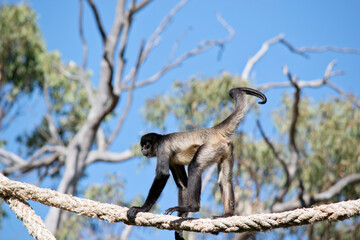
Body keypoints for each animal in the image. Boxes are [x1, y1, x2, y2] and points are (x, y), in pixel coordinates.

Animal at [128, 87, 266, 237]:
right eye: (142, 145)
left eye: (146, 145)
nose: (142, 149)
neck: (160, 139)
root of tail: (212, 130)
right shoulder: (172, 160)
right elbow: (183, 186)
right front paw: (179, 230)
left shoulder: (162, 147)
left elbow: (163, 174)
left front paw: (142, 208)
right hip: (225, 150)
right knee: (225, 181)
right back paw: (227, 215)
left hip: (211, 146)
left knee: (194, 166)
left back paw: (193, 207)